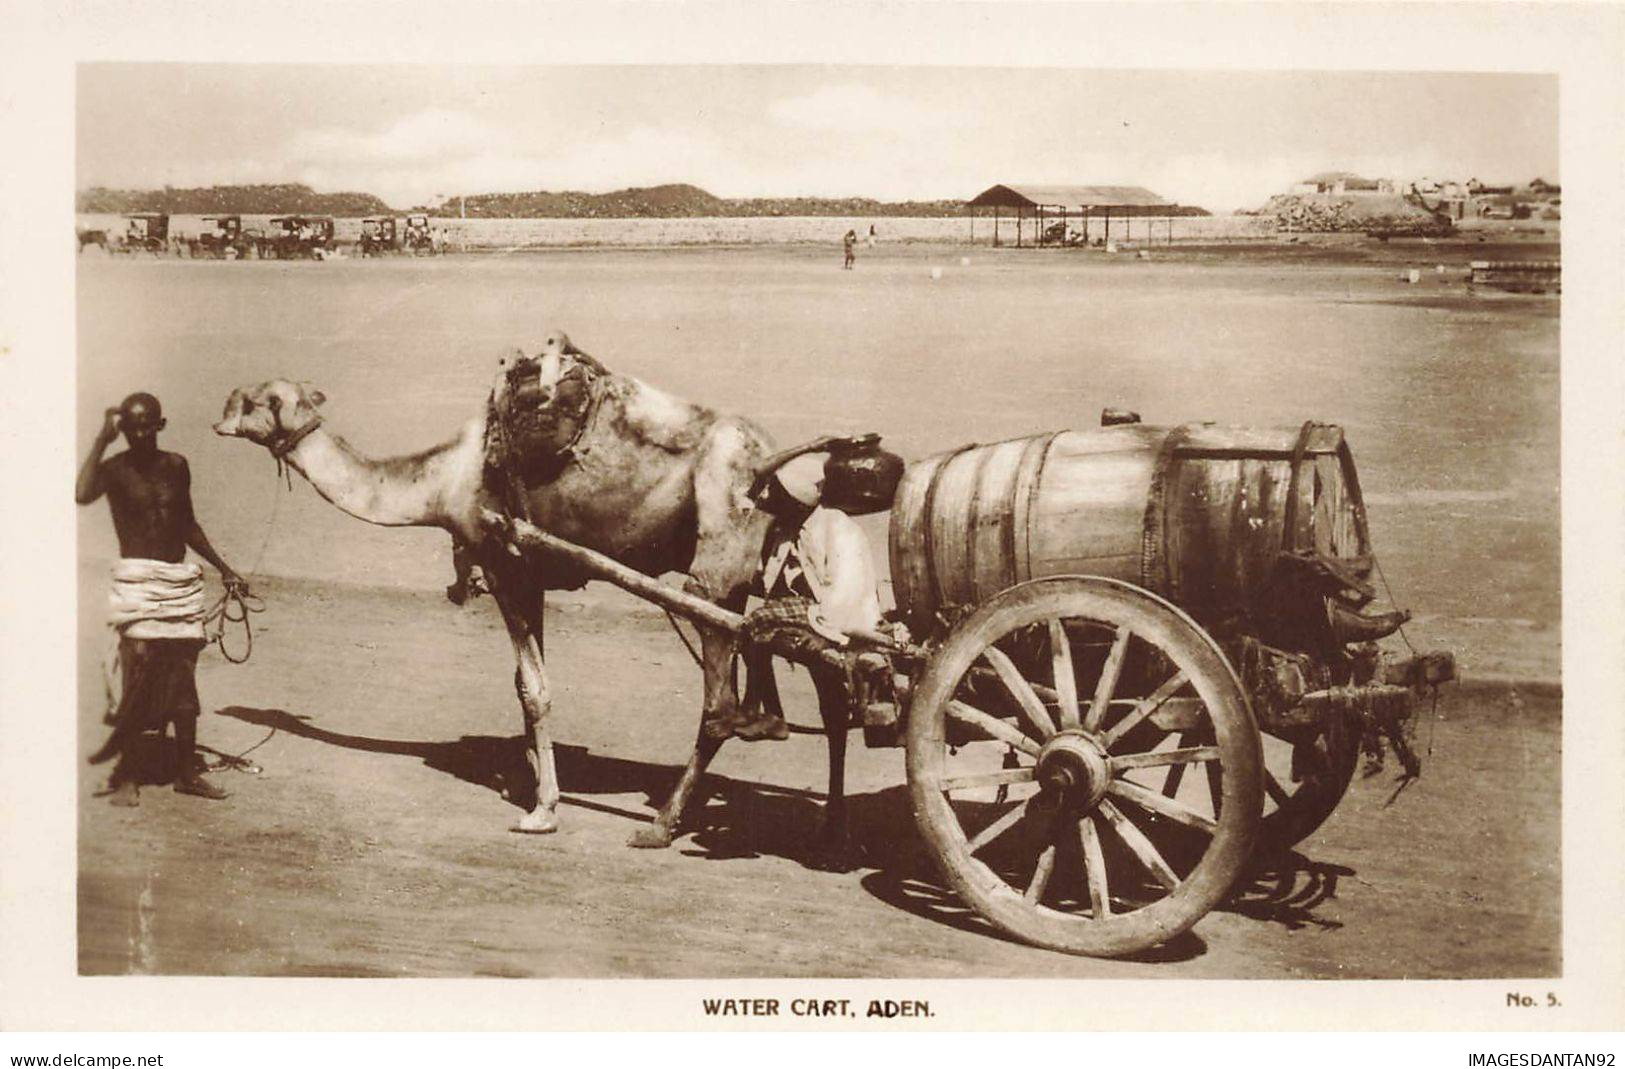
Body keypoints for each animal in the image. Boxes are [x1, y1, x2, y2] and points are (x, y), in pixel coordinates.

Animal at [211, 328, 786, 844]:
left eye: (259, 401)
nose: (219, 417)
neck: (443, 481)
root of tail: (769, 458)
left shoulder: (501, 563)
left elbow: (534, 690)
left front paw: (542, 811)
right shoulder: (532, 573)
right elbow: (523, 684)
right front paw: (528, 782)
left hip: (716, 558)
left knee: (718, 707)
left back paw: (661, 825)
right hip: (747, 569)